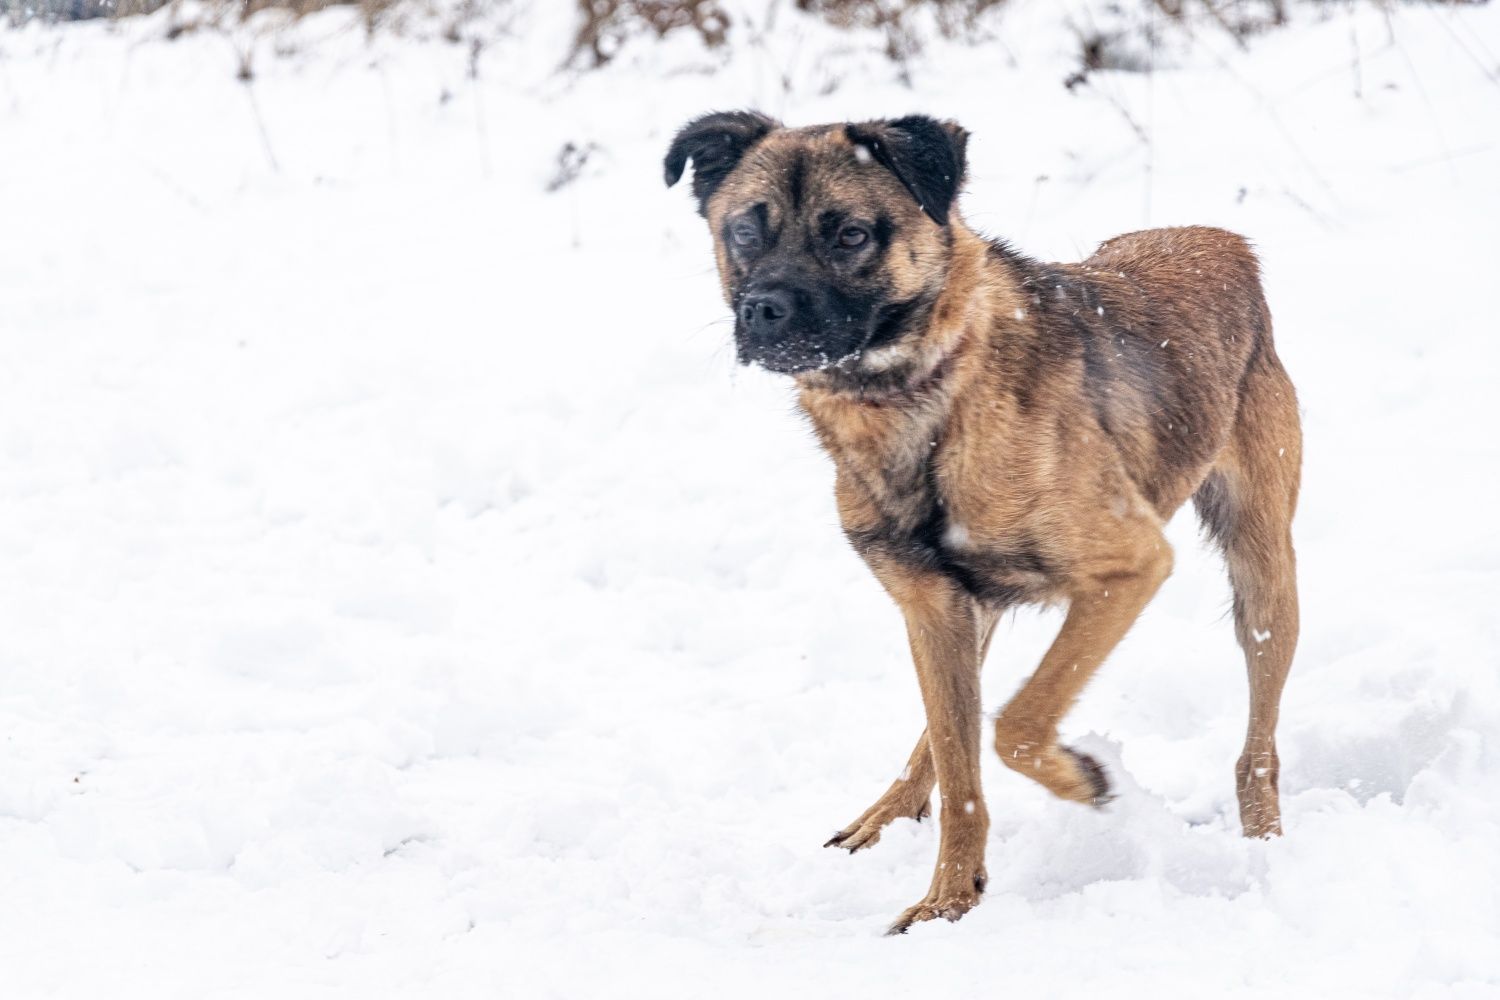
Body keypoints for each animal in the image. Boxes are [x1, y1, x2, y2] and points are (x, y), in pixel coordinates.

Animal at [663, 113, 1296, 935]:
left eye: (850, 234)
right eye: (744, 231)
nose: (764, 311)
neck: (927, 396)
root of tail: (1218, 240)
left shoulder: (1129, 567)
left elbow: (1016, 726)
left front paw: (1084, 782)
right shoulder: (933, 607)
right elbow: (961, 767)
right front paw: (949, 903)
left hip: (1263, 586)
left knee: (1258, 747)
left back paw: (1264, 845)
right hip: (971, 617)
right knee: (939, 737)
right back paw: (884, 816)